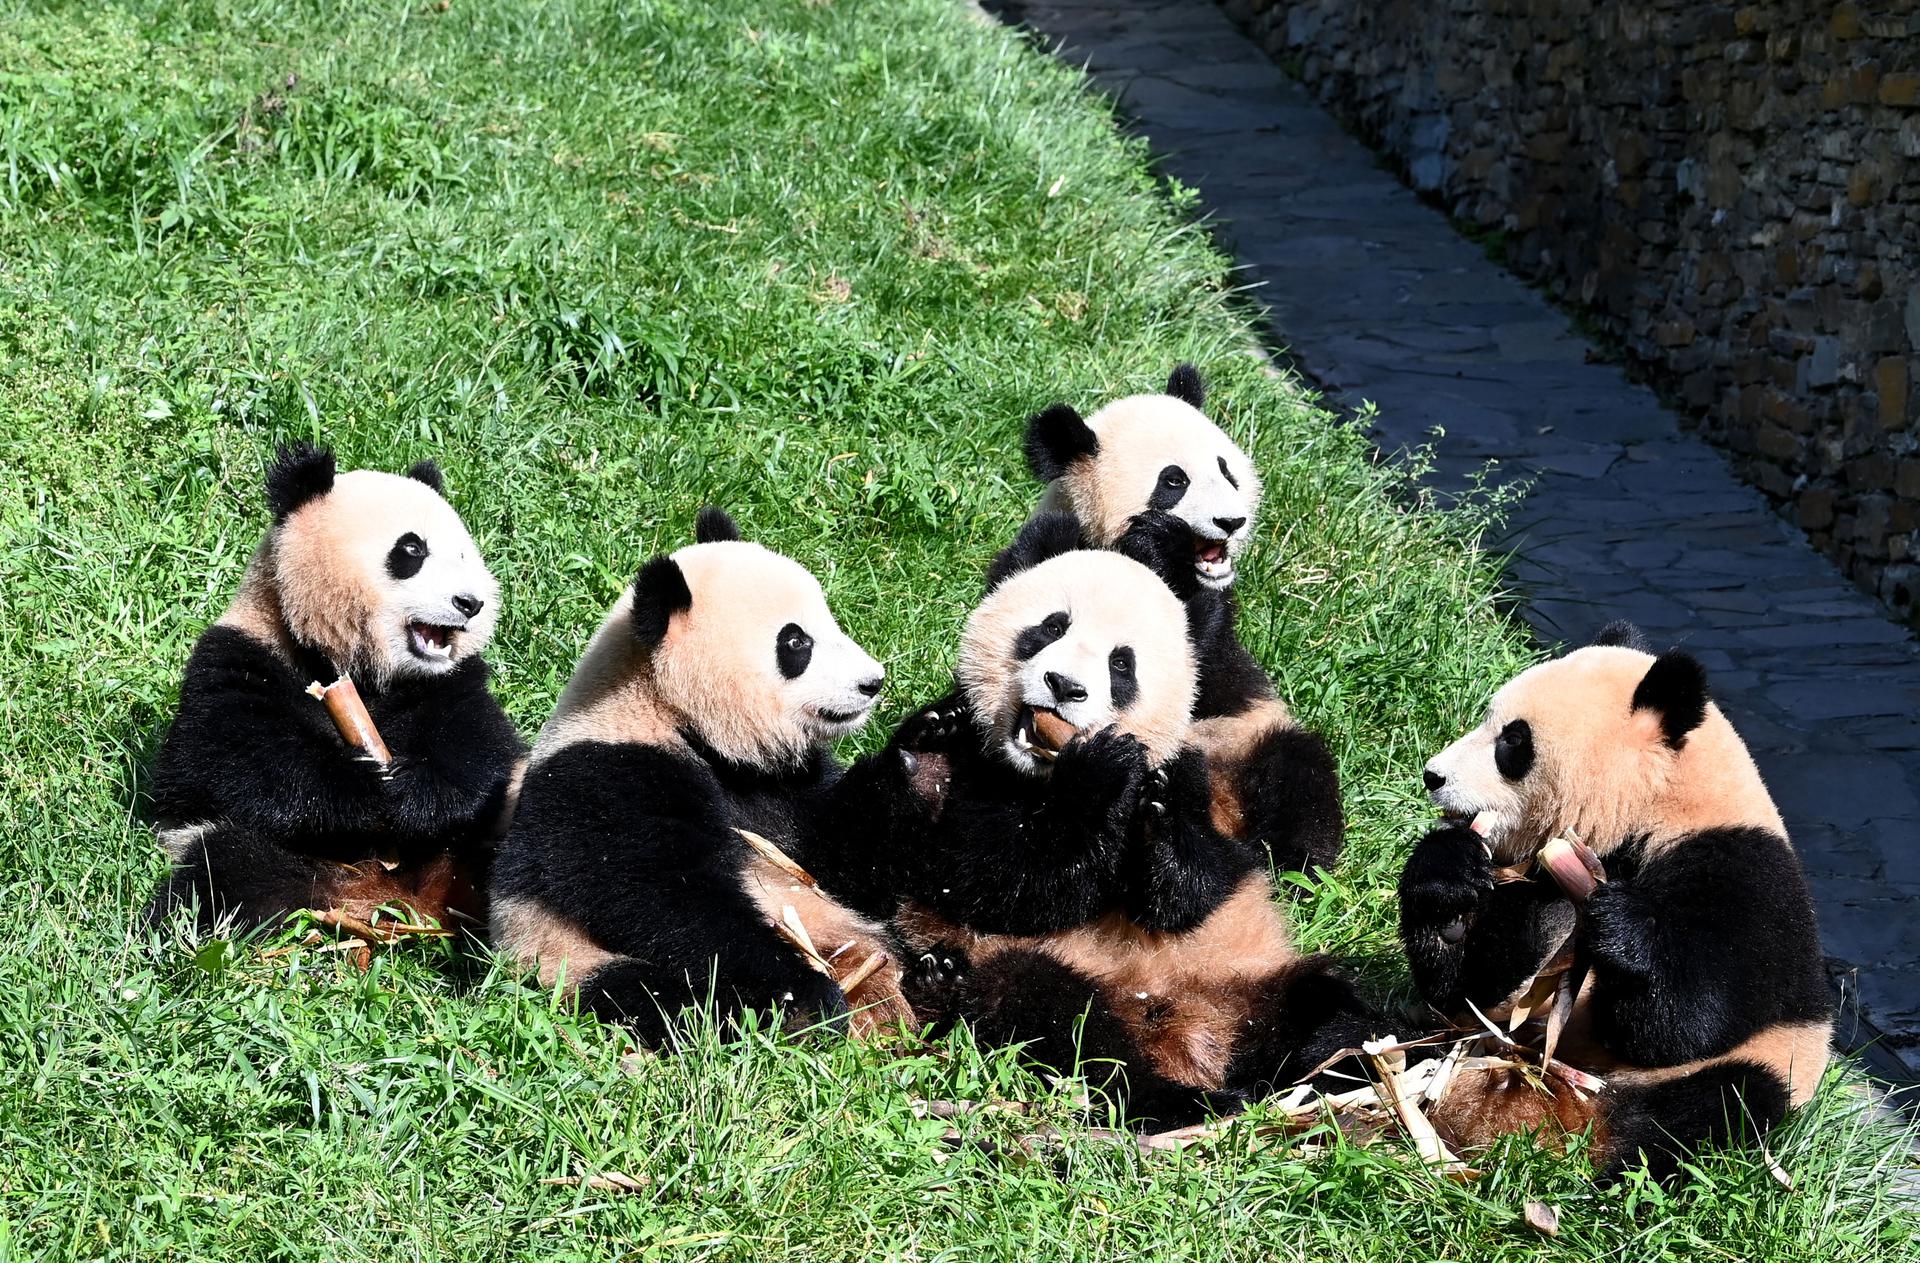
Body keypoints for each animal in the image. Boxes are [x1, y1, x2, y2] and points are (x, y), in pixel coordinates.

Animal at [144, 439, 526, 925]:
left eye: (464, 555)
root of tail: (388, 895)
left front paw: (413, 790)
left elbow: (480, 745)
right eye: (412, 550)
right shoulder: (241, 654)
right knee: (225, 872)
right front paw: (364, 784)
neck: (354, 663)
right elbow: (219, 758)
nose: (470, 603)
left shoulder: (448, 683)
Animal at [495, 506, 913, 1036]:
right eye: (796, 642)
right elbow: (664, 898)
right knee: (656, 997)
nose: (872, 683)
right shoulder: (609, 775)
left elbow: (837, 850)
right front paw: (807, 996)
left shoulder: (778, 782)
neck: (669, 711)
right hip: (558, 955)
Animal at [1029, 360, 1344, 875]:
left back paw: (1288, 862)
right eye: (1173, 482)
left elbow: (1200, 659)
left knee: (1300, 776)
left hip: (1249, 736)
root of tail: (1224, 812)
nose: (1231, 522)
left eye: (1226, 470)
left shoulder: (1220, 637)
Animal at [1405, 621, 1835, 1182]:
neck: (1658, 805)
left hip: (1765, 1065)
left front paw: (1617, 924)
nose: (1433, 776)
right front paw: (1453, 875)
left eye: (1513, 740)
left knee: (1708, 1108)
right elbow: (1469, 988)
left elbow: (1679, 1021)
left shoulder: (1746, 875)